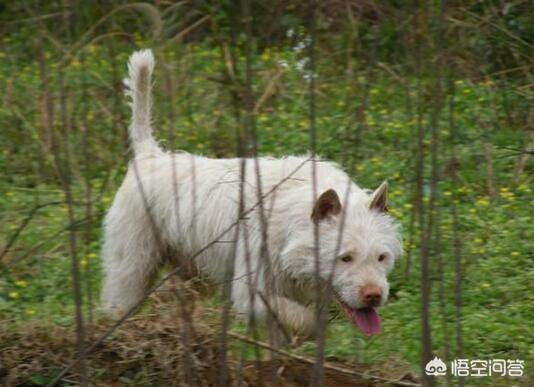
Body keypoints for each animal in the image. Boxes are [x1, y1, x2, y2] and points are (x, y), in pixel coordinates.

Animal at [101, 49, 402, 340]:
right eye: (345, 257)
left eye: (381, 257)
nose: (374, 296)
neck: (294, 224)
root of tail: (149, 155)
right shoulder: (253, 294)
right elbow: (304, 321)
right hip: (132, 267)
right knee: (119, 300)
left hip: (193, 272)